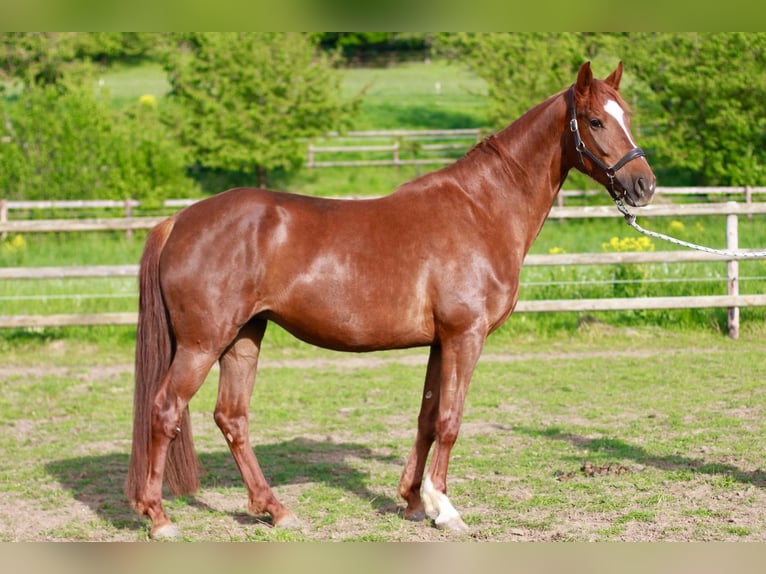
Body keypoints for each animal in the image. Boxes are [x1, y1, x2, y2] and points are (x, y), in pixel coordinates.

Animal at [124, 59, 656, 540]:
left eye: (627, 114)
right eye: (595, 120)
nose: (644, 184)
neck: (480, 208)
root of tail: (179, 221)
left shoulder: (441, 342)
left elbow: (426, 418)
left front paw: (414, 502)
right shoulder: (465, 336)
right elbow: (450, 420)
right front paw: (446, 508)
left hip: (243, 339)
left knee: (231, 418)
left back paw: (276, 510)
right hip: (202, 344)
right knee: (164, 410)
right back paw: (159, 518)